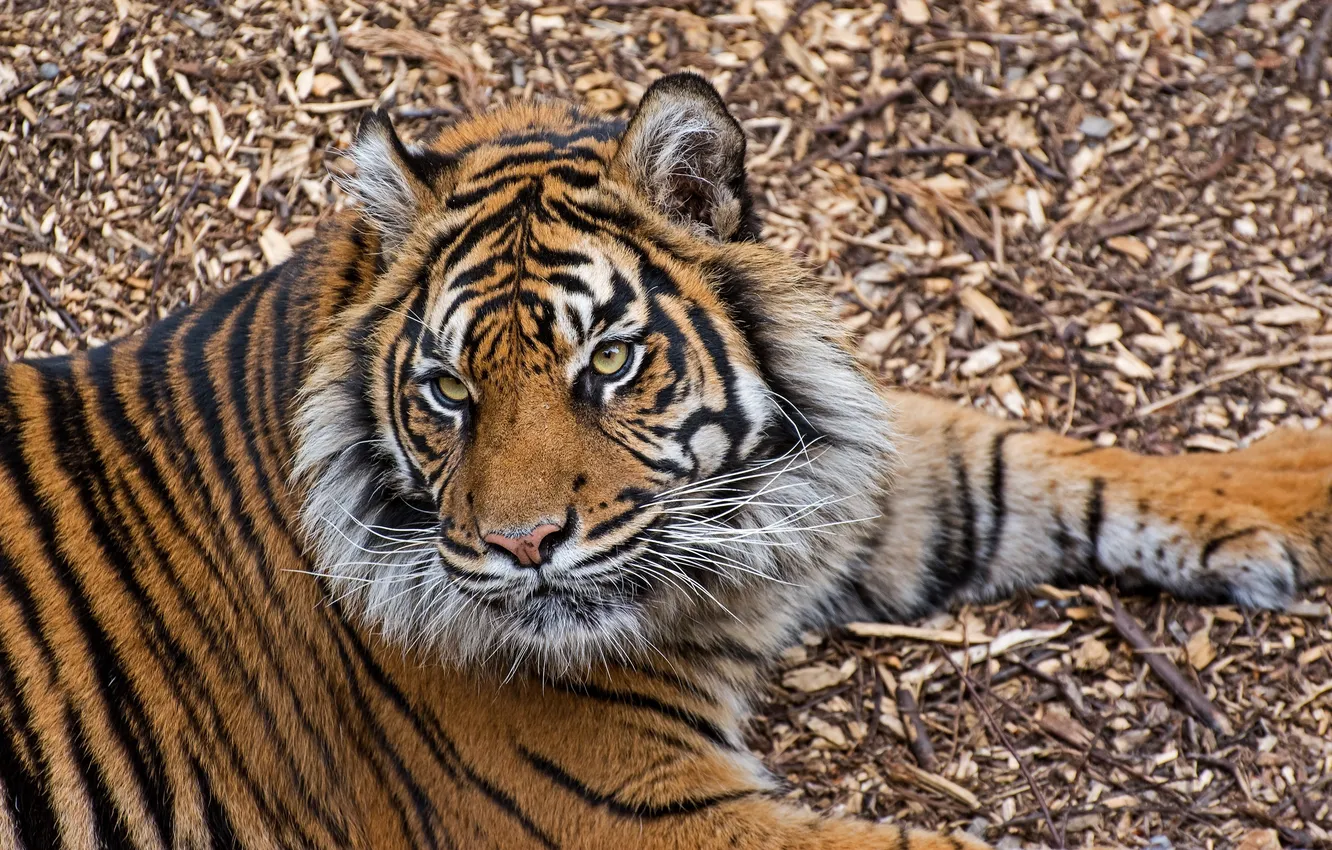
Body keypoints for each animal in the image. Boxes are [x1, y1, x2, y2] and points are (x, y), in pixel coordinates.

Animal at [0, 71, 1328, 850]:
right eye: (448, 391)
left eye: (609, 360)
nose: (521, 547)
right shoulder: (634, 811)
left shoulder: (832, 485)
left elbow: (1019, 457)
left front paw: (1296, 482)